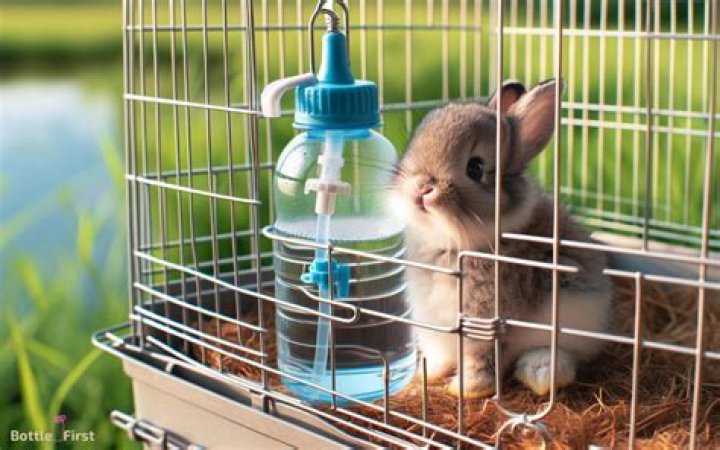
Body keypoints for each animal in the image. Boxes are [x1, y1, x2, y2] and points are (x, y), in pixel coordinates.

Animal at [391, 79, 613, 397]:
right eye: (414, 143)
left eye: (475, 167)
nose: (421, 189)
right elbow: (437, 357)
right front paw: (424, 377)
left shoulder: (484, 325)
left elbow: (480, 360)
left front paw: (465, 390)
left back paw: (539, 374)